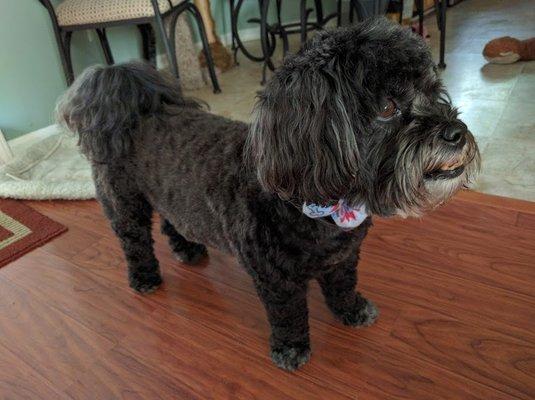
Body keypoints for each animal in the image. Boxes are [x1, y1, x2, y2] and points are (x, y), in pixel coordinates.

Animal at [58, 18, 482, 368]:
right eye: (386, 107)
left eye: (433, 92)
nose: (456, 133)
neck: (315, 204)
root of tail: (136, 110)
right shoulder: (276, 280)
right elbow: (289, 315)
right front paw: (291, 350)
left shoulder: (344, 258)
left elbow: (343, 287)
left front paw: (352, 311)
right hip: (124, 203)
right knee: (135, 242)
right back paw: (145, 277)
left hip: (170, 196)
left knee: (171, 223)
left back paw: (188, 249)